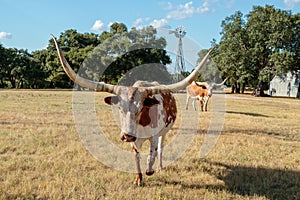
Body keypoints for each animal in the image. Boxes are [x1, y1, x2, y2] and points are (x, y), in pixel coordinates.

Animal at [52, 34, 216, 186]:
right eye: (119, 107)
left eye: (141, 108)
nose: (127, 136)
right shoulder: (133, 140)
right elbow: (136, 156)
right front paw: (138, 178)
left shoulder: (154, 135)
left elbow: (152, 153)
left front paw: (150, 170)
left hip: (164, 132)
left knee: (161, 148)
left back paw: (159, 166)